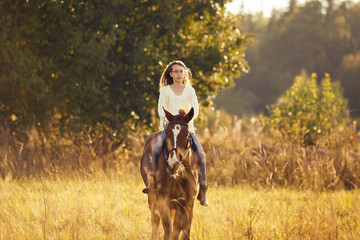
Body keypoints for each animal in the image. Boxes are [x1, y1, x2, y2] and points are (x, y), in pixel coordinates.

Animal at [140, 108, 198, 240]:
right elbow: (168, 229)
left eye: (186, 134)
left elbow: (183, 230)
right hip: (152, 197)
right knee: (155, 221)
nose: (172, 164)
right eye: (167, 133)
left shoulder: (188, 203)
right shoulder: (164, 201)